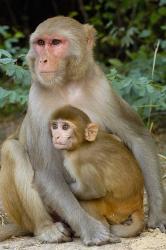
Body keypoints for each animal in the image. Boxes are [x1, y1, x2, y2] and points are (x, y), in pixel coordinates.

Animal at [49, 105, 144, 238]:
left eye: (65, 127)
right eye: (54, 126)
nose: (56, 136)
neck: (82, 144)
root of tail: (138, 206)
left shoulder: (78, 162)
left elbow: (93, 191)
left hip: (115, 210)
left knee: (88, 199)